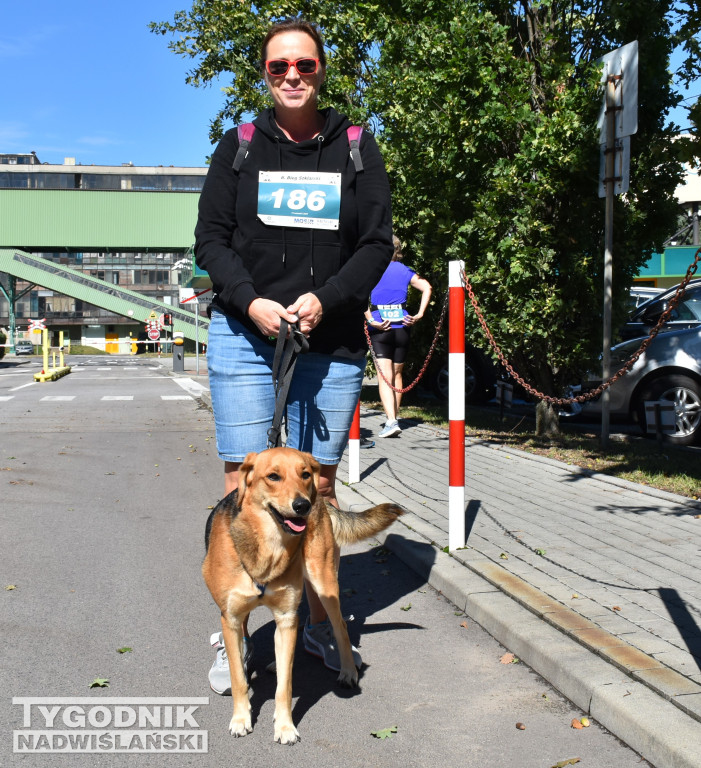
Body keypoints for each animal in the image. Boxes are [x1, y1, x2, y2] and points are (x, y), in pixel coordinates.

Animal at [201, 444, 404, 744]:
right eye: (273, 476)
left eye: (305, 474)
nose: (302, 506)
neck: (269, 547)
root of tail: (321, 501)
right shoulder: (232, 619)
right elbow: (239, 678)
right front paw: (240, 719)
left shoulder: (287, 615)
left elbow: (284, 686)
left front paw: (285, 726)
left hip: (324, 583)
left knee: (340, 626)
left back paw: (347, 670)